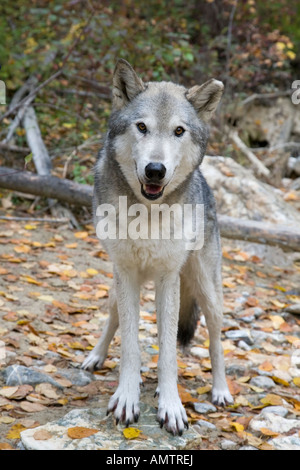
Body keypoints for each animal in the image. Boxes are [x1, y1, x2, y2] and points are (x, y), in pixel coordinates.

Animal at [82, 59, 234, 436]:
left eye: (179, 131)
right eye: (141, 127)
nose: (155, 170)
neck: (147, 213)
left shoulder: (169, 278)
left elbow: (168, 353)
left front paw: (171, 406)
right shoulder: (125, 274)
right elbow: (131, 345)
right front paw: (127, 397)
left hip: (207, 290)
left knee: (215, 340)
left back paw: (221, 390)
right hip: (117, 286)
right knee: (113, 318)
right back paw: (96, 356)